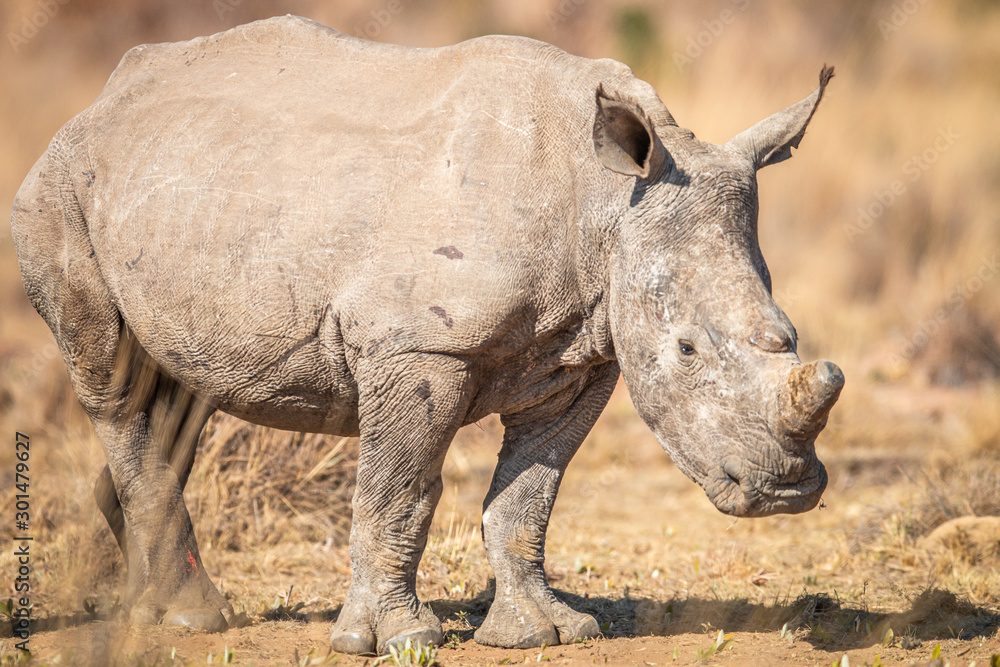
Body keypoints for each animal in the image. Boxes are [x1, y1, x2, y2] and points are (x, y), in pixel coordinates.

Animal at [11, 15, 843, 654]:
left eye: (790, 331)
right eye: (687, 349)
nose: (785, 489)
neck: (607, 202)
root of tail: (98, 104)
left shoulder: (586, 350)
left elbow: (530, 494)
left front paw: (546, 631)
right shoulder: (416, 346)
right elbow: (400, 489)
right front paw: (396, 640)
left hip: (184, 194)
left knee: (180, 392)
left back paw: (143, 606)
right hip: (56, 193)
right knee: (113, 383)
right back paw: (191, 617)